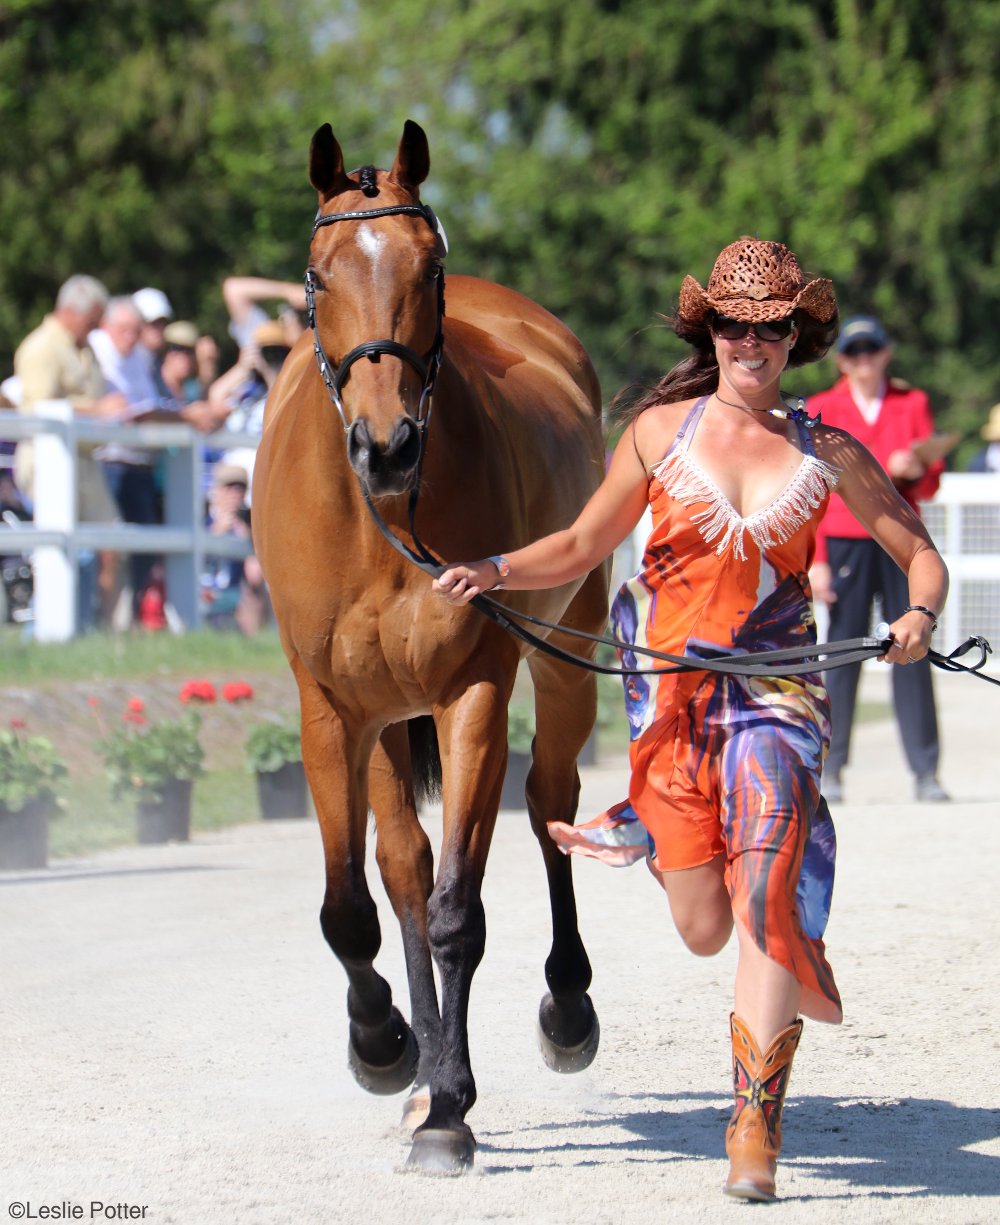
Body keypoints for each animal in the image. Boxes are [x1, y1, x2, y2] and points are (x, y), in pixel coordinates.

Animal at [253, 119, 605, 1171]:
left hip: (565, 655)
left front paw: (450, 1106)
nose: (388, 444)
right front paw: (386, 1047)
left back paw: (566, 1009)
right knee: (402, 868)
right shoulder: (334, 710)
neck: (380, 523)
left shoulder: (473, 694)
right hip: (382, 718)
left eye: (430, 266)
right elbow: (355, 905)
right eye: (317, 276)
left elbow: (458, 910)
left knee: (551, 804)